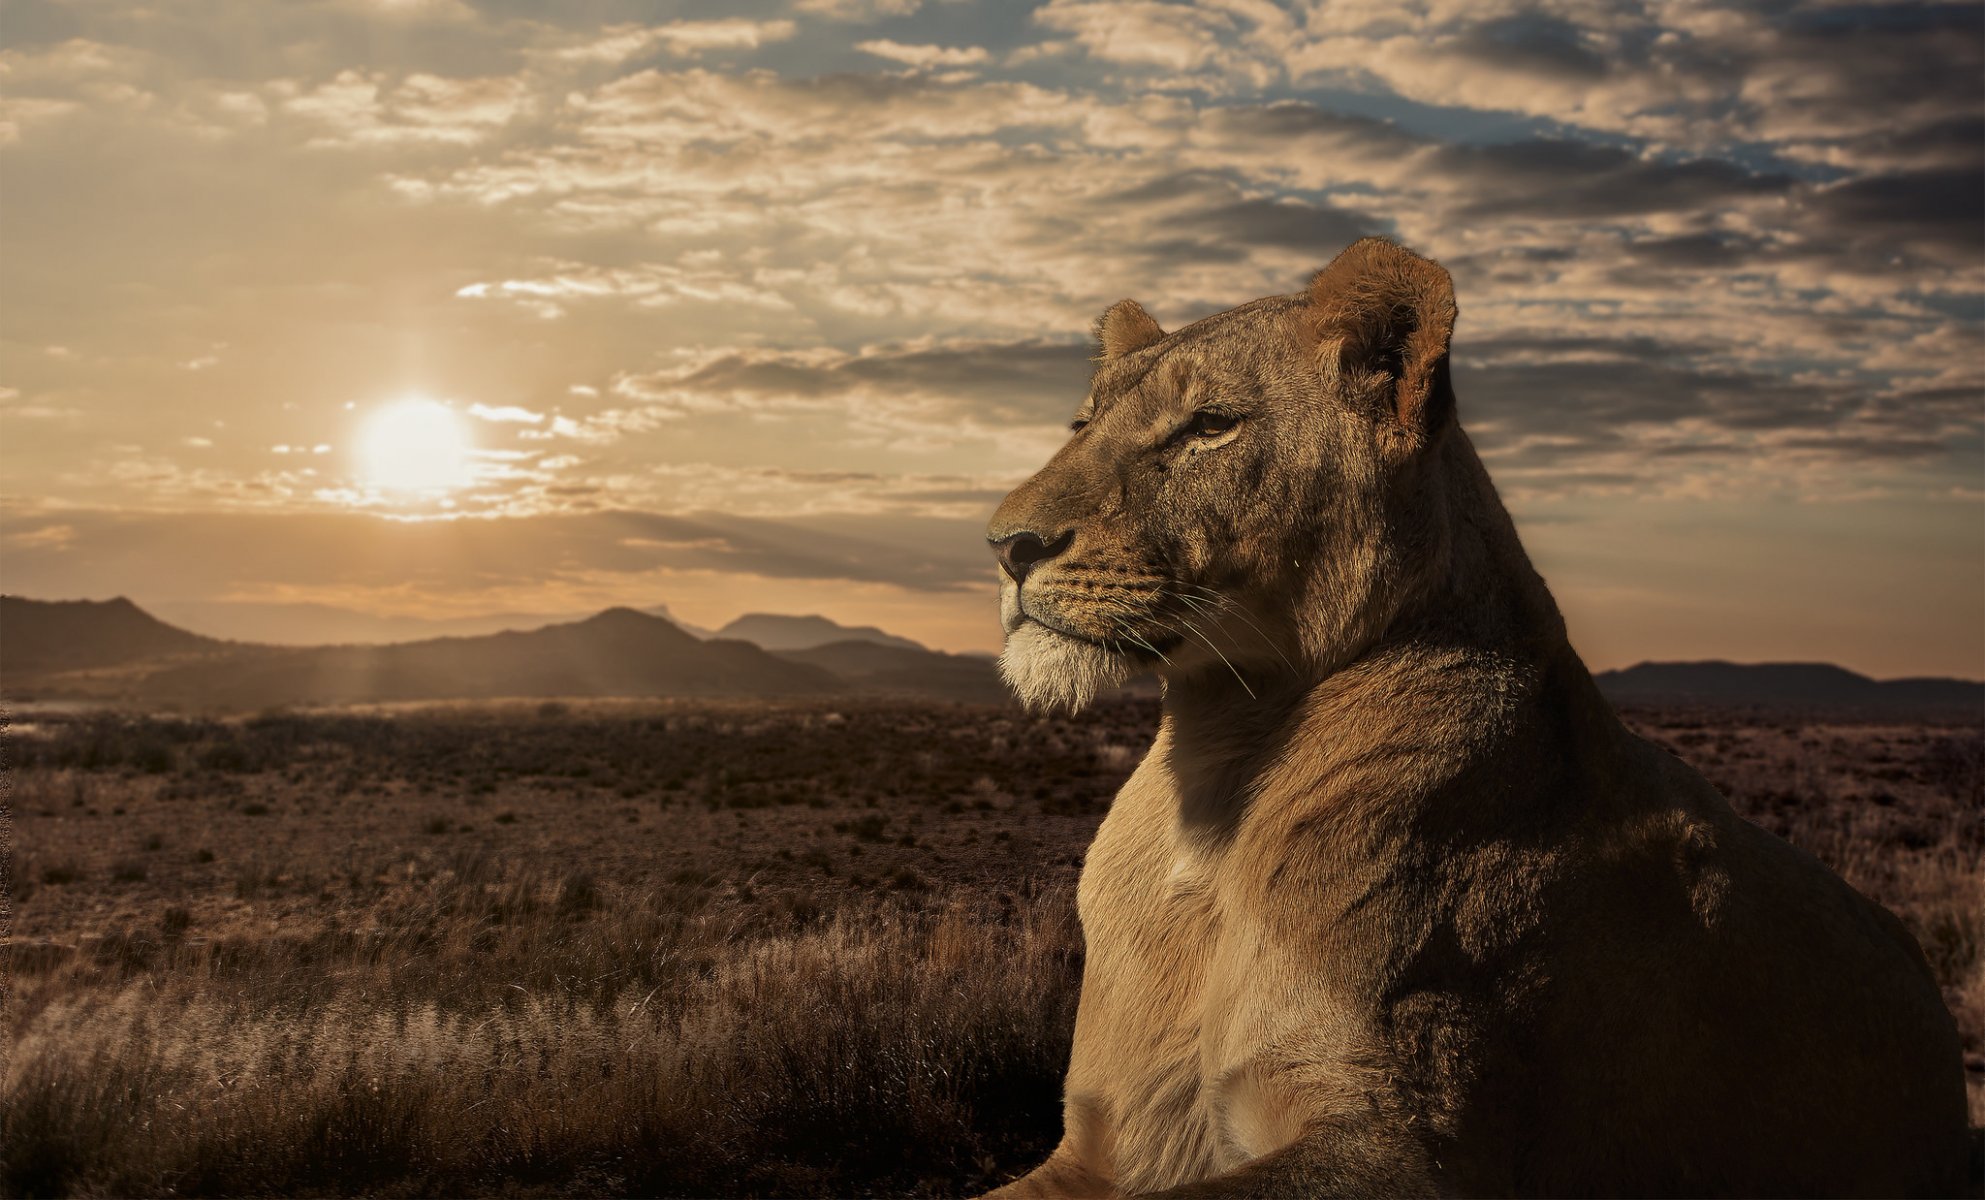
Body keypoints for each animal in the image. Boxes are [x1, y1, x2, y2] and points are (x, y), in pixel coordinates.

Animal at [981, 238, 1969, 1197]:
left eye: (1210, 426)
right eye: (1081, 424)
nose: (1005, 546)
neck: (1219, 758)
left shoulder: (1403, 1145)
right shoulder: (1105, 1141)